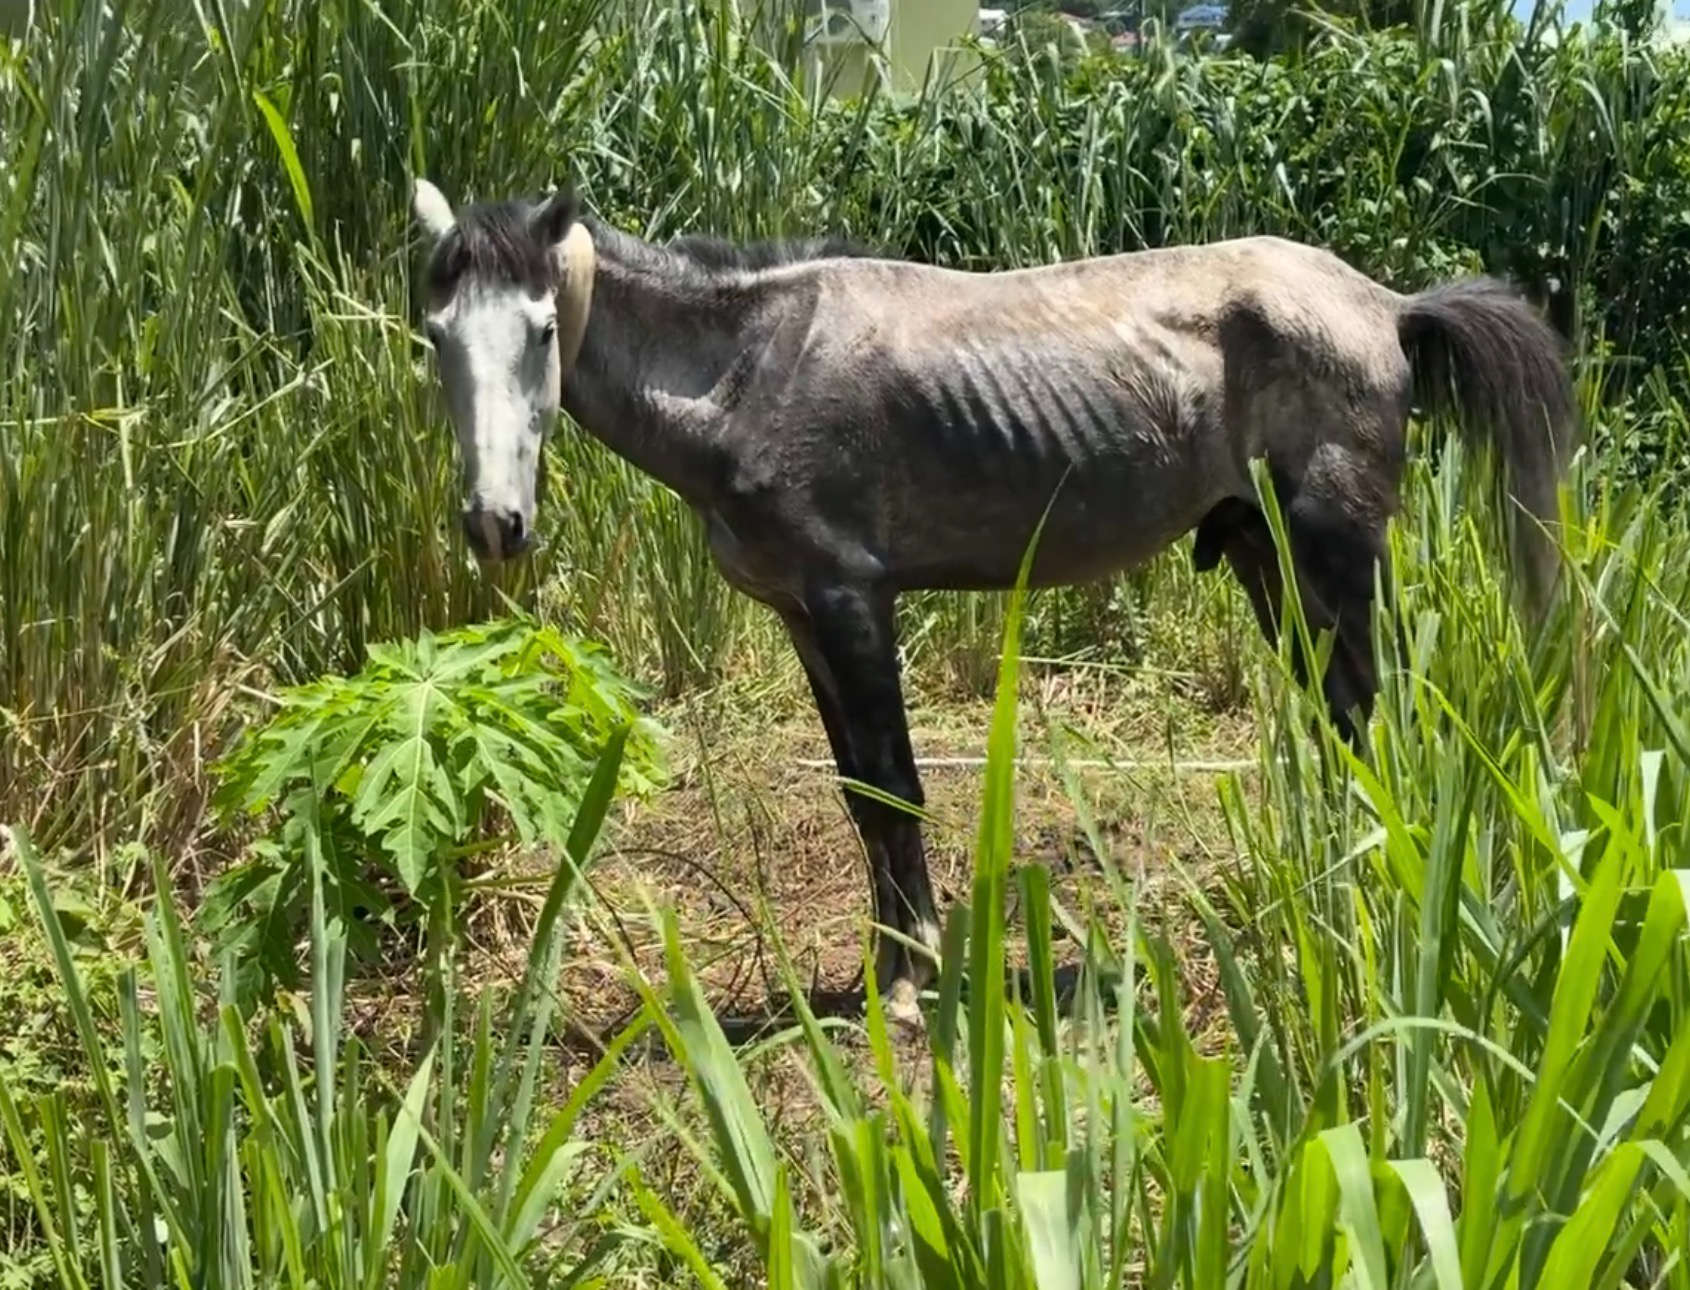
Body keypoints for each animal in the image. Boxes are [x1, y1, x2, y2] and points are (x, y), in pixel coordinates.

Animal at [406, 177, 1577, 1024]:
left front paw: (914, 979)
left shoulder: (852, 599)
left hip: (1333, 558)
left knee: (1376, 710)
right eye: (437, 338)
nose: (495, 524)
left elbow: (895, 787)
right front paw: (887, 964)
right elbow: (860, 795)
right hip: (1269, 562)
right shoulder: (802, 616)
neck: (750, 368)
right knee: (1344, 717)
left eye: (541, 332)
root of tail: (1384, 304)